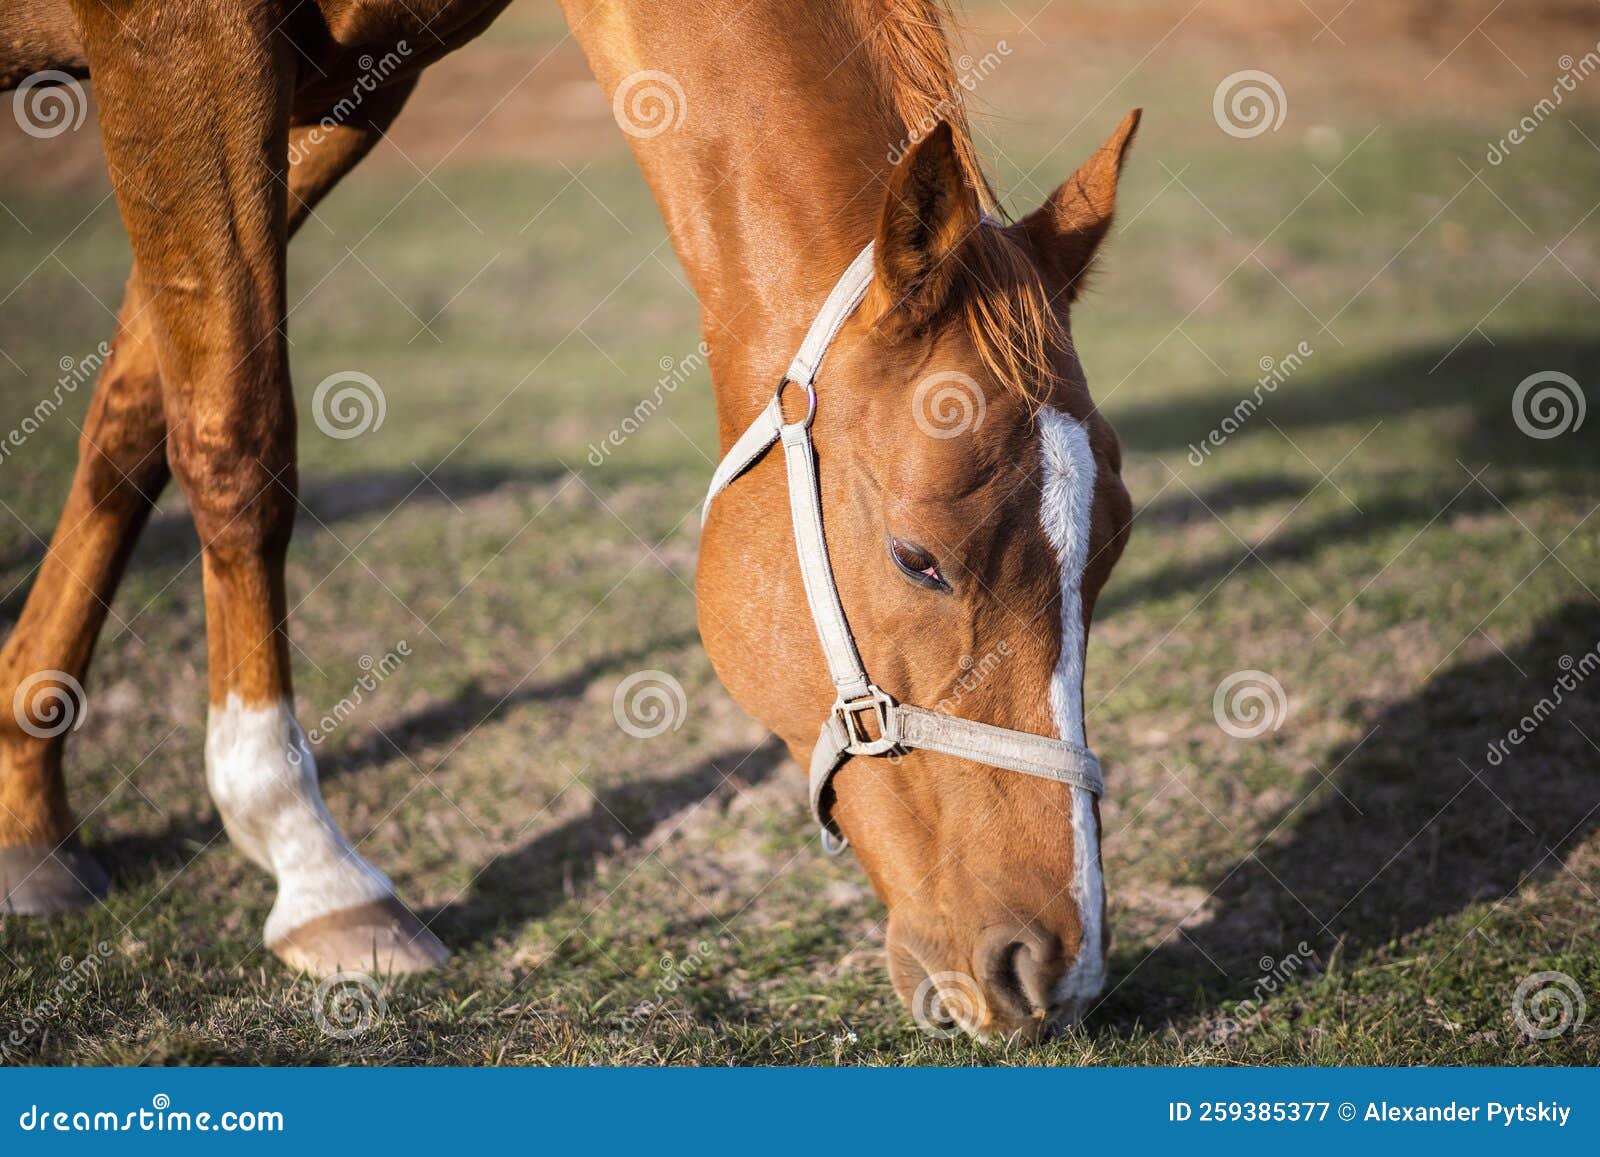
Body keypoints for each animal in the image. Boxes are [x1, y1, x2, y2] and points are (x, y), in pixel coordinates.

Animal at [0, 0, 1138, 1040]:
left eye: (1109, 552)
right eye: (917, 559)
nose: (1056, 965)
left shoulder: (340, 82)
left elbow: (136, 414)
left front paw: (27, 800)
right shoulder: (182, 42)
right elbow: (233, 432)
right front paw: (311, 862)